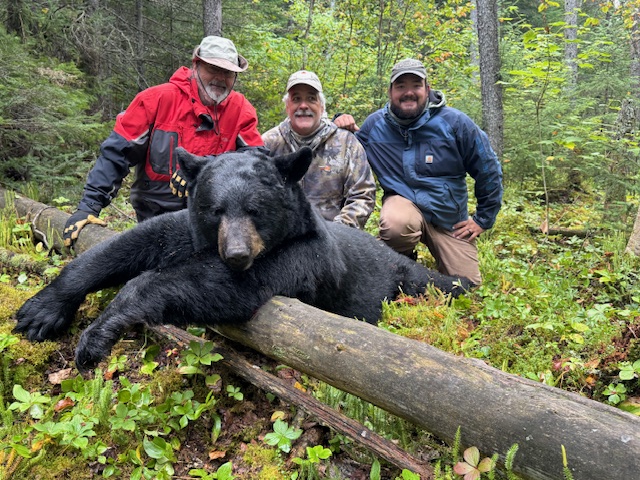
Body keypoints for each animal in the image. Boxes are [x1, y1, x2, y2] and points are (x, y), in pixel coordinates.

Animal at [14, 146, 474, 371]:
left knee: (428, 281)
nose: (235, 253)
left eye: (256, 209)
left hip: (399, 276)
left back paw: (462, 282)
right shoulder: (189, 233)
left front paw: (96, 335)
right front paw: (41, 311)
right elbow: (130, 244)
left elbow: (223, 287)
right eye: (216, 209)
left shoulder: (301, 258)